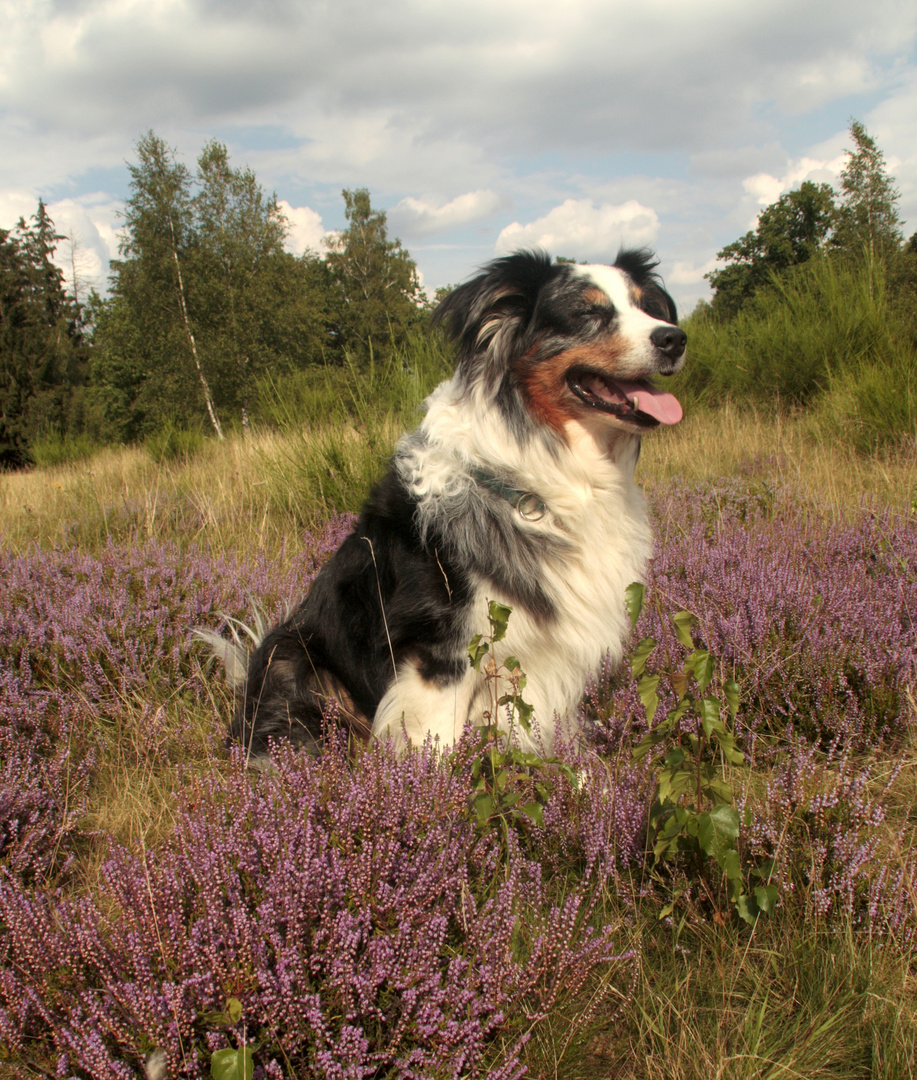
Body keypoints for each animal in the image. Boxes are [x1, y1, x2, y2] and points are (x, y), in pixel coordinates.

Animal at [210, 247, 682, 756]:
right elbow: (437, 747)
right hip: (295, 661)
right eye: (587, 313)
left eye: (646, 307)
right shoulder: (441, 646)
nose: (675, 338)